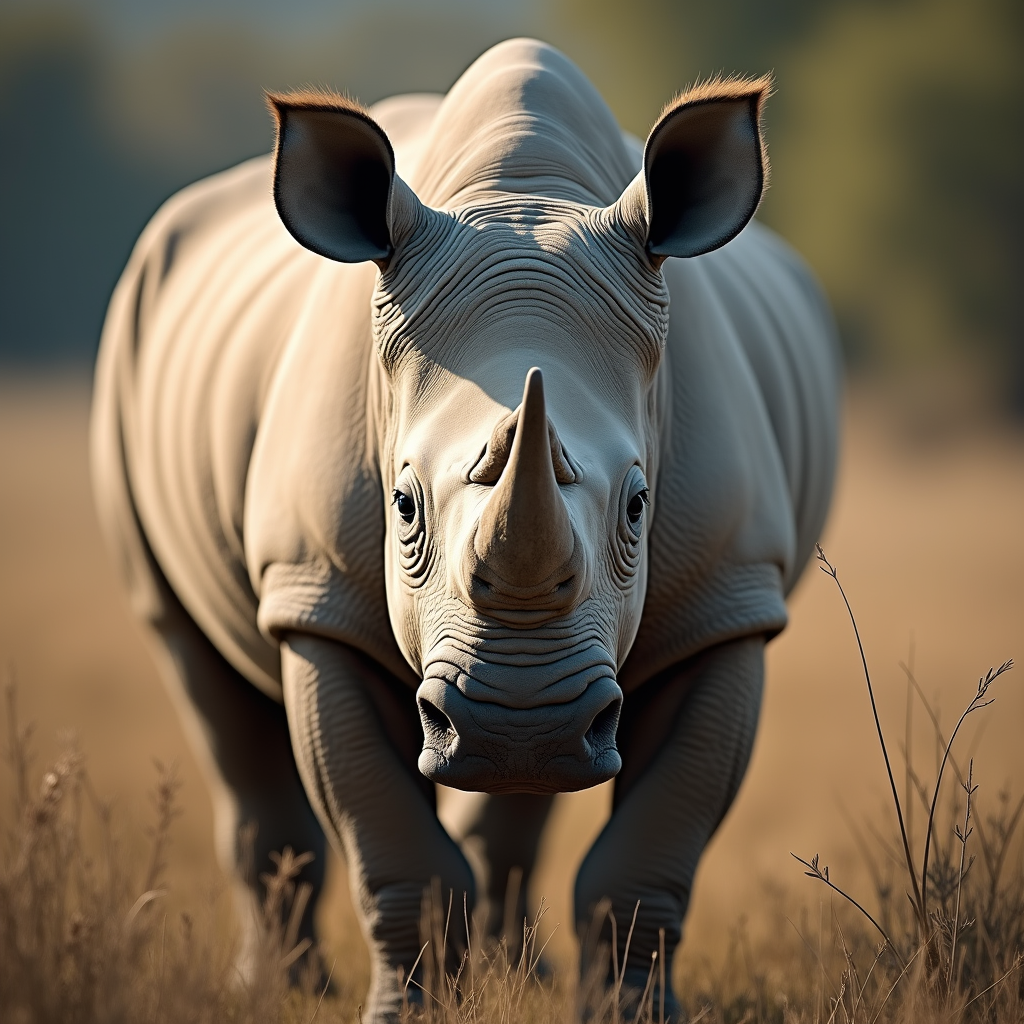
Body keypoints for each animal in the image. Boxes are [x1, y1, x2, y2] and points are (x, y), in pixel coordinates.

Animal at [92, 38, 839, 1020]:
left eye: (641, 505)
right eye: (402, 505)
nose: (518, 717)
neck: (524, 196)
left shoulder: (727, 600)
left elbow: (646, 855)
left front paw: (626, 1013)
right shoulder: (316, 595)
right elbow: (394, 847)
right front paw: (400, 1012)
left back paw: (522, 957)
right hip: (132, 334)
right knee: (196, 667)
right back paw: (284, 988)